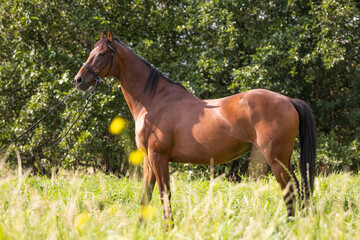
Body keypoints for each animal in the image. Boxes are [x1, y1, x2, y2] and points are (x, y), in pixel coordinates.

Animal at [74, 31, 316, 226]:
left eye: (101, 54)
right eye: (92, 52)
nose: (78, 80)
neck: (153, 100)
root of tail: (289, 100)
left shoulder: (158, 157)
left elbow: (164, 194)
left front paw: (169, 228)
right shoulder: (148, 160)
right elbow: (146, 195)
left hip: (277, 160)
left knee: (291, 192)